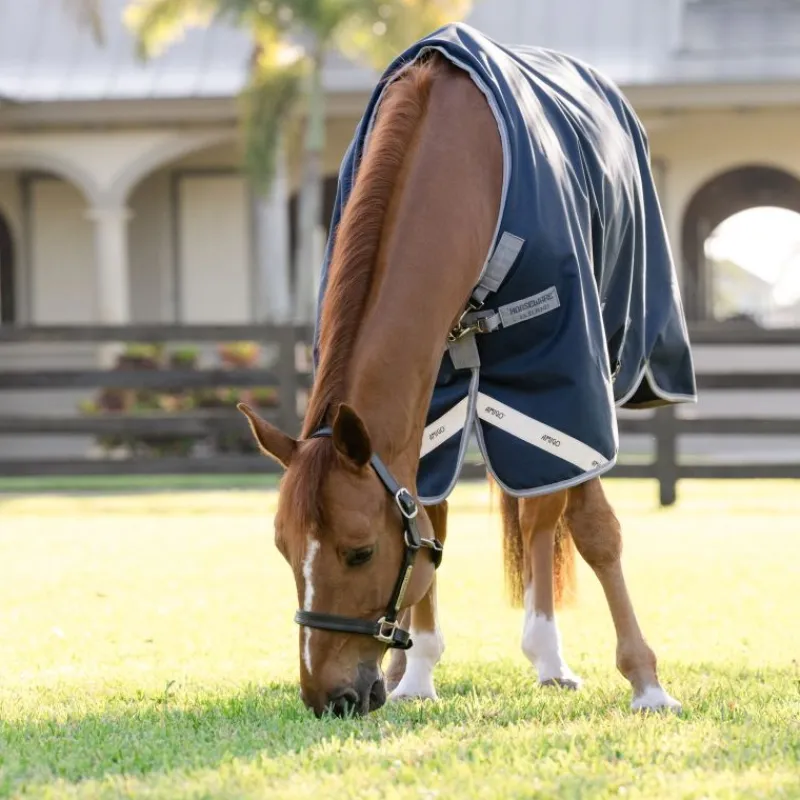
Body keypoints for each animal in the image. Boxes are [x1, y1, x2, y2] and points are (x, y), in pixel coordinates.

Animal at [238, 25, 694, 718]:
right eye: (284, 550)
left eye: (359, 552)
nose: (328, 698)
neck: (460, 159)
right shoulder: (431, 403)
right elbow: (430, 516)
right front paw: (418, 672)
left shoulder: (567, 376)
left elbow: (593, 529)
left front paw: (646, 684)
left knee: (543, 515)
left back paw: (549, 657)